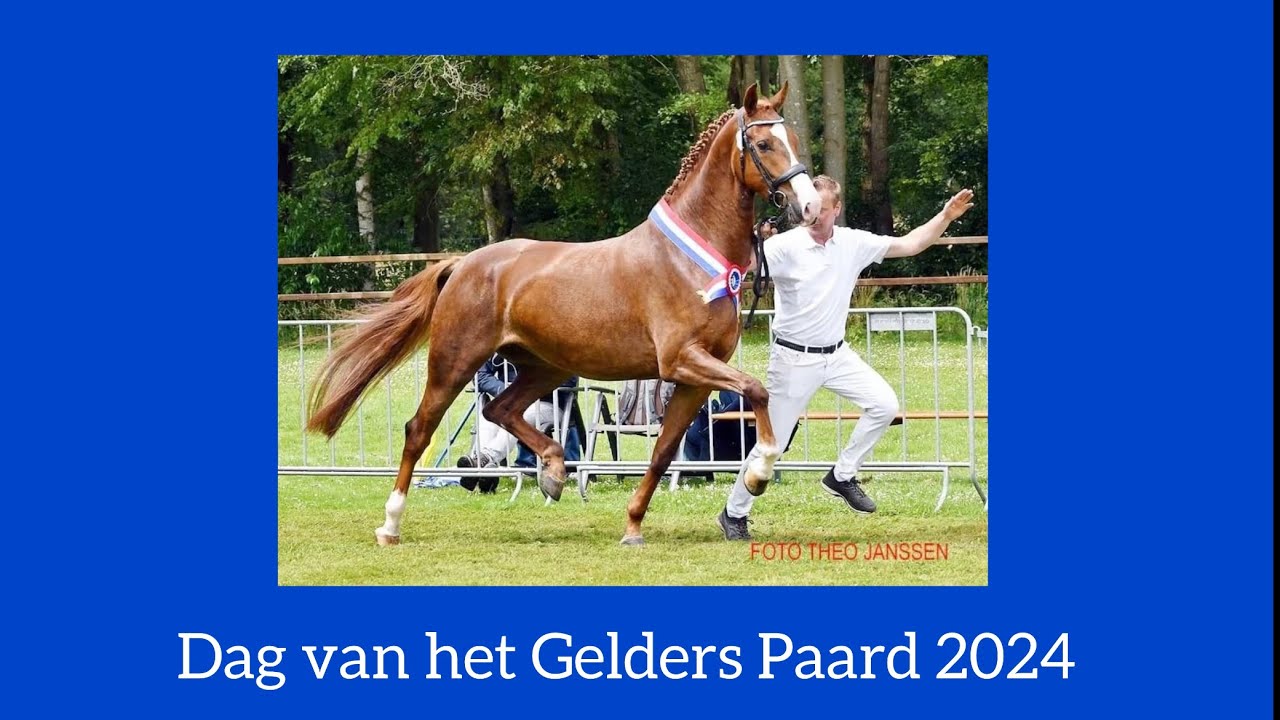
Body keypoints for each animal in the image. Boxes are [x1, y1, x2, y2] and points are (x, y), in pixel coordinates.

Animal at [305, 82, 820, 546]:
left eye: (793, 140)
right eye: (763, 144)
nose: (810, 205)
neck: (688, 258)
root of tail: (463, 263)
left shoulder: (694, 377)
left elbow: (662, 452)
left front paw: (632, 526)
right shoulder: (682, 360)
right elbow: (756, 391)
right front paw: (758, 472)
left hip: (543, 368)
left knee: (499, 408)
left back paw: (553, 471)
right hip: (455, 362)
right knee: (420, 429)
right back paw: (390, 525)